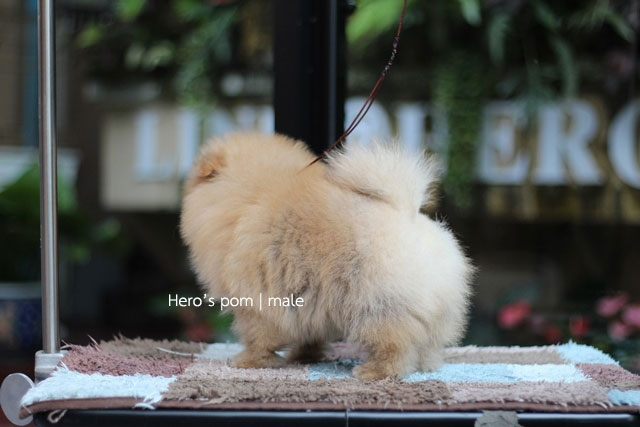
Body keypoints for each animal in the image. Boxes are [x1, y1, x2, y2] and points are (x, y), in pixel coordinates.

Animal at [180, 132, 473, 379]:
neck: (244, 199)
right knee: (428, 342)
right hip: (435, 309)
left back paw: (375, 371)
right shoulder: (303, 302)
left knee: (395, 343)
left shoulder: (255, 303)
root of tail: (406, 213)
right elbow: (308, 334)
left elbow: (258, 337)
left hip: (378, 304)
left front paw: (251, 361)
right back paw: (425, 364)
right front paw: (304, 356)